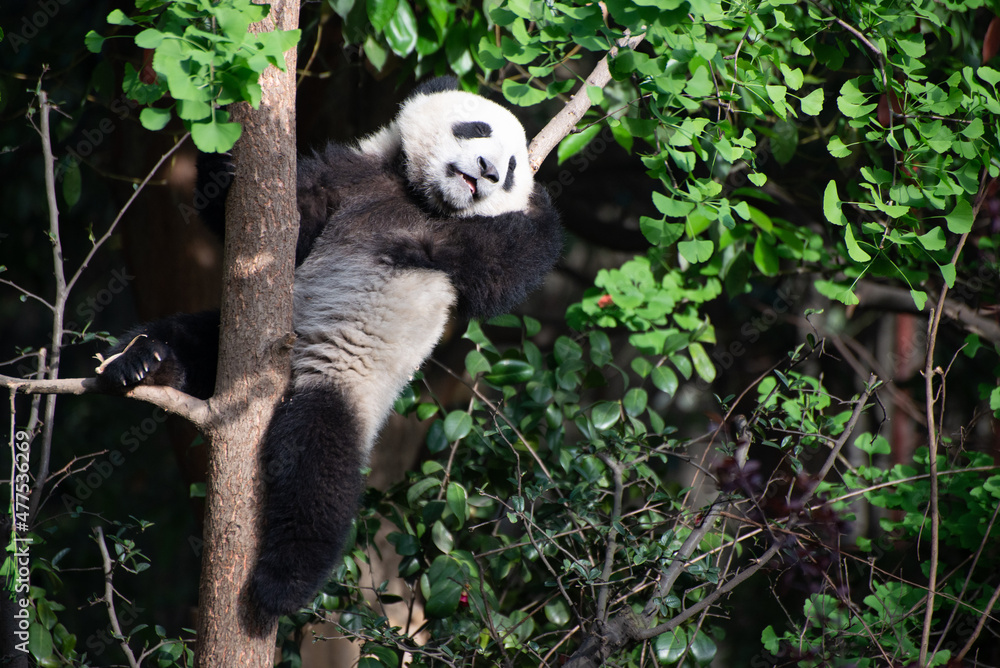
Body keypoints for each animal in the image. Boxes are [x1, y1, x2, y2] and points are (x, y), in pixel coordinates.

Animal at [95, 77, 563, 620]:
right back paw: (142, 364)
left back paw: (283, 583)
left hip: (345, 381)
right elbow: (291, 223)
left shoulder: (455, 249)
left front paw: (541, 208)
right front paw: (224, 167)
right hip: (238, 335)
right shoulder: (351, 177)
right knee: (186, 335)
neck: (420, 200)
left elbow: (500, 268)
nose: (488, 171)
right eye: (476, 128)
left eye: (511, 170)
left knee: (317, 464)